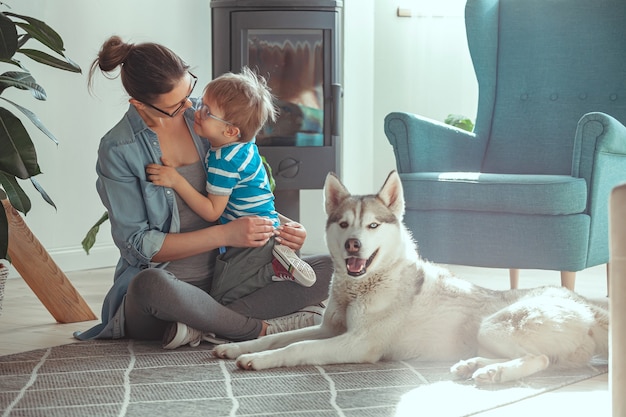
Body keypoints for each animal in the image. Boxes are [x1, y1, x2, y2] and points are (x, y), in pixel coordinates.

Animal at [212, 170, 608, 384]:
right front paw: (236, 347)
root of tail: (587, 307)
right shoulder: (329, 329)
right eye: (344, 224)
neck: (360, 288)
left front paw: (259, 361)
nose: (354, 244)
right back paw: (473, 366)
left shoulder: (355, 344)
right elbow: (277, 337)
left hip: (495, 326)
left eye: (372, 225)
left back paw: (494, 374)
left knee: (540, 360)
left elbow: (296, 348)